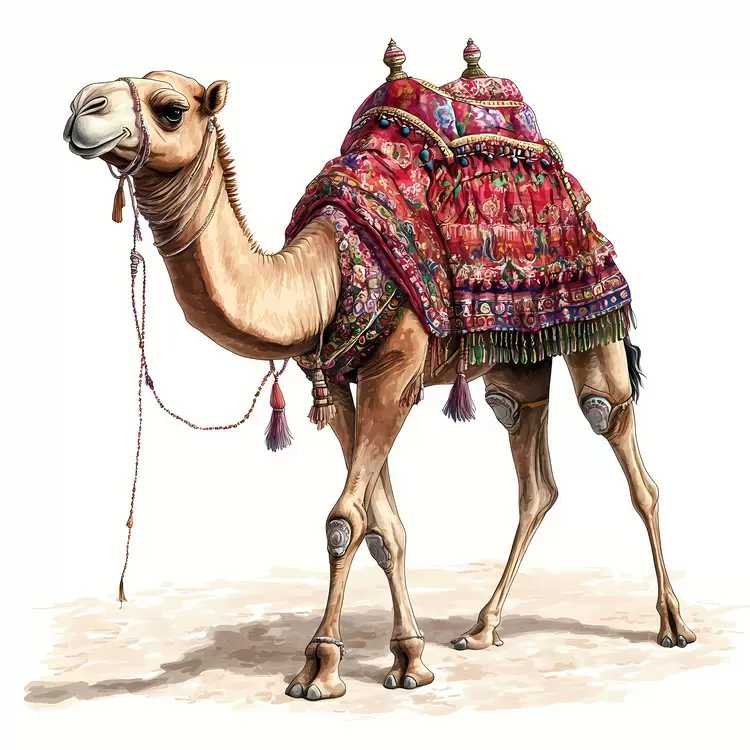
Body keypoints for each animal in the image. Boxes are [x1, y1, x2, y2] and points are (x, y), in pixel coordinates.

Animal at [63, 65, 695, 702]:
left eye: (170, 109)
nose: (82, 106)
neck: (326, 273)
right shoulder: (341, 383)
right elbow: (381, 527)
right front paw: (409, 657)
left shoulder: (395, 375)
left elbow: (344, 521)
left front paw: (320, 668)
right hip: (515, 362)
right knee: (531, 466)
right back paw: (482, 628)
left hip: (596, 317)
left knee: (620, 441)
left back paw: (673, 624)